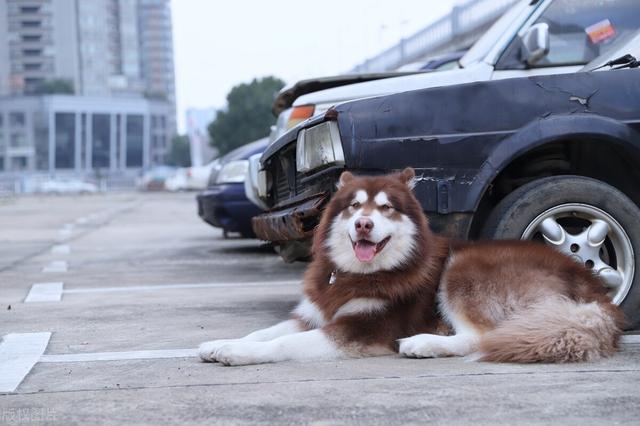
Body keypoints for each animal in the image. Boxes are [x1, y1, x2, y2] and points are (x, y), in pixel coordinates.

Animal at [199, 168, 624, 364]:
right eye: (355, 205)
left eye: (386, 207)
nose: (363, 224)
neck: (356, 274)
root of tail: (590, 283)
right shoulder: (314, 313)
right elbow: (263, 331)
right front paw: (221, 343)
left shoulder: (361, 328)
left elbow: (282, 342)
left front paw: (238, 354)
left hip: (463, 268)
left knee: (484, 337)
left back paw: (423, 343)